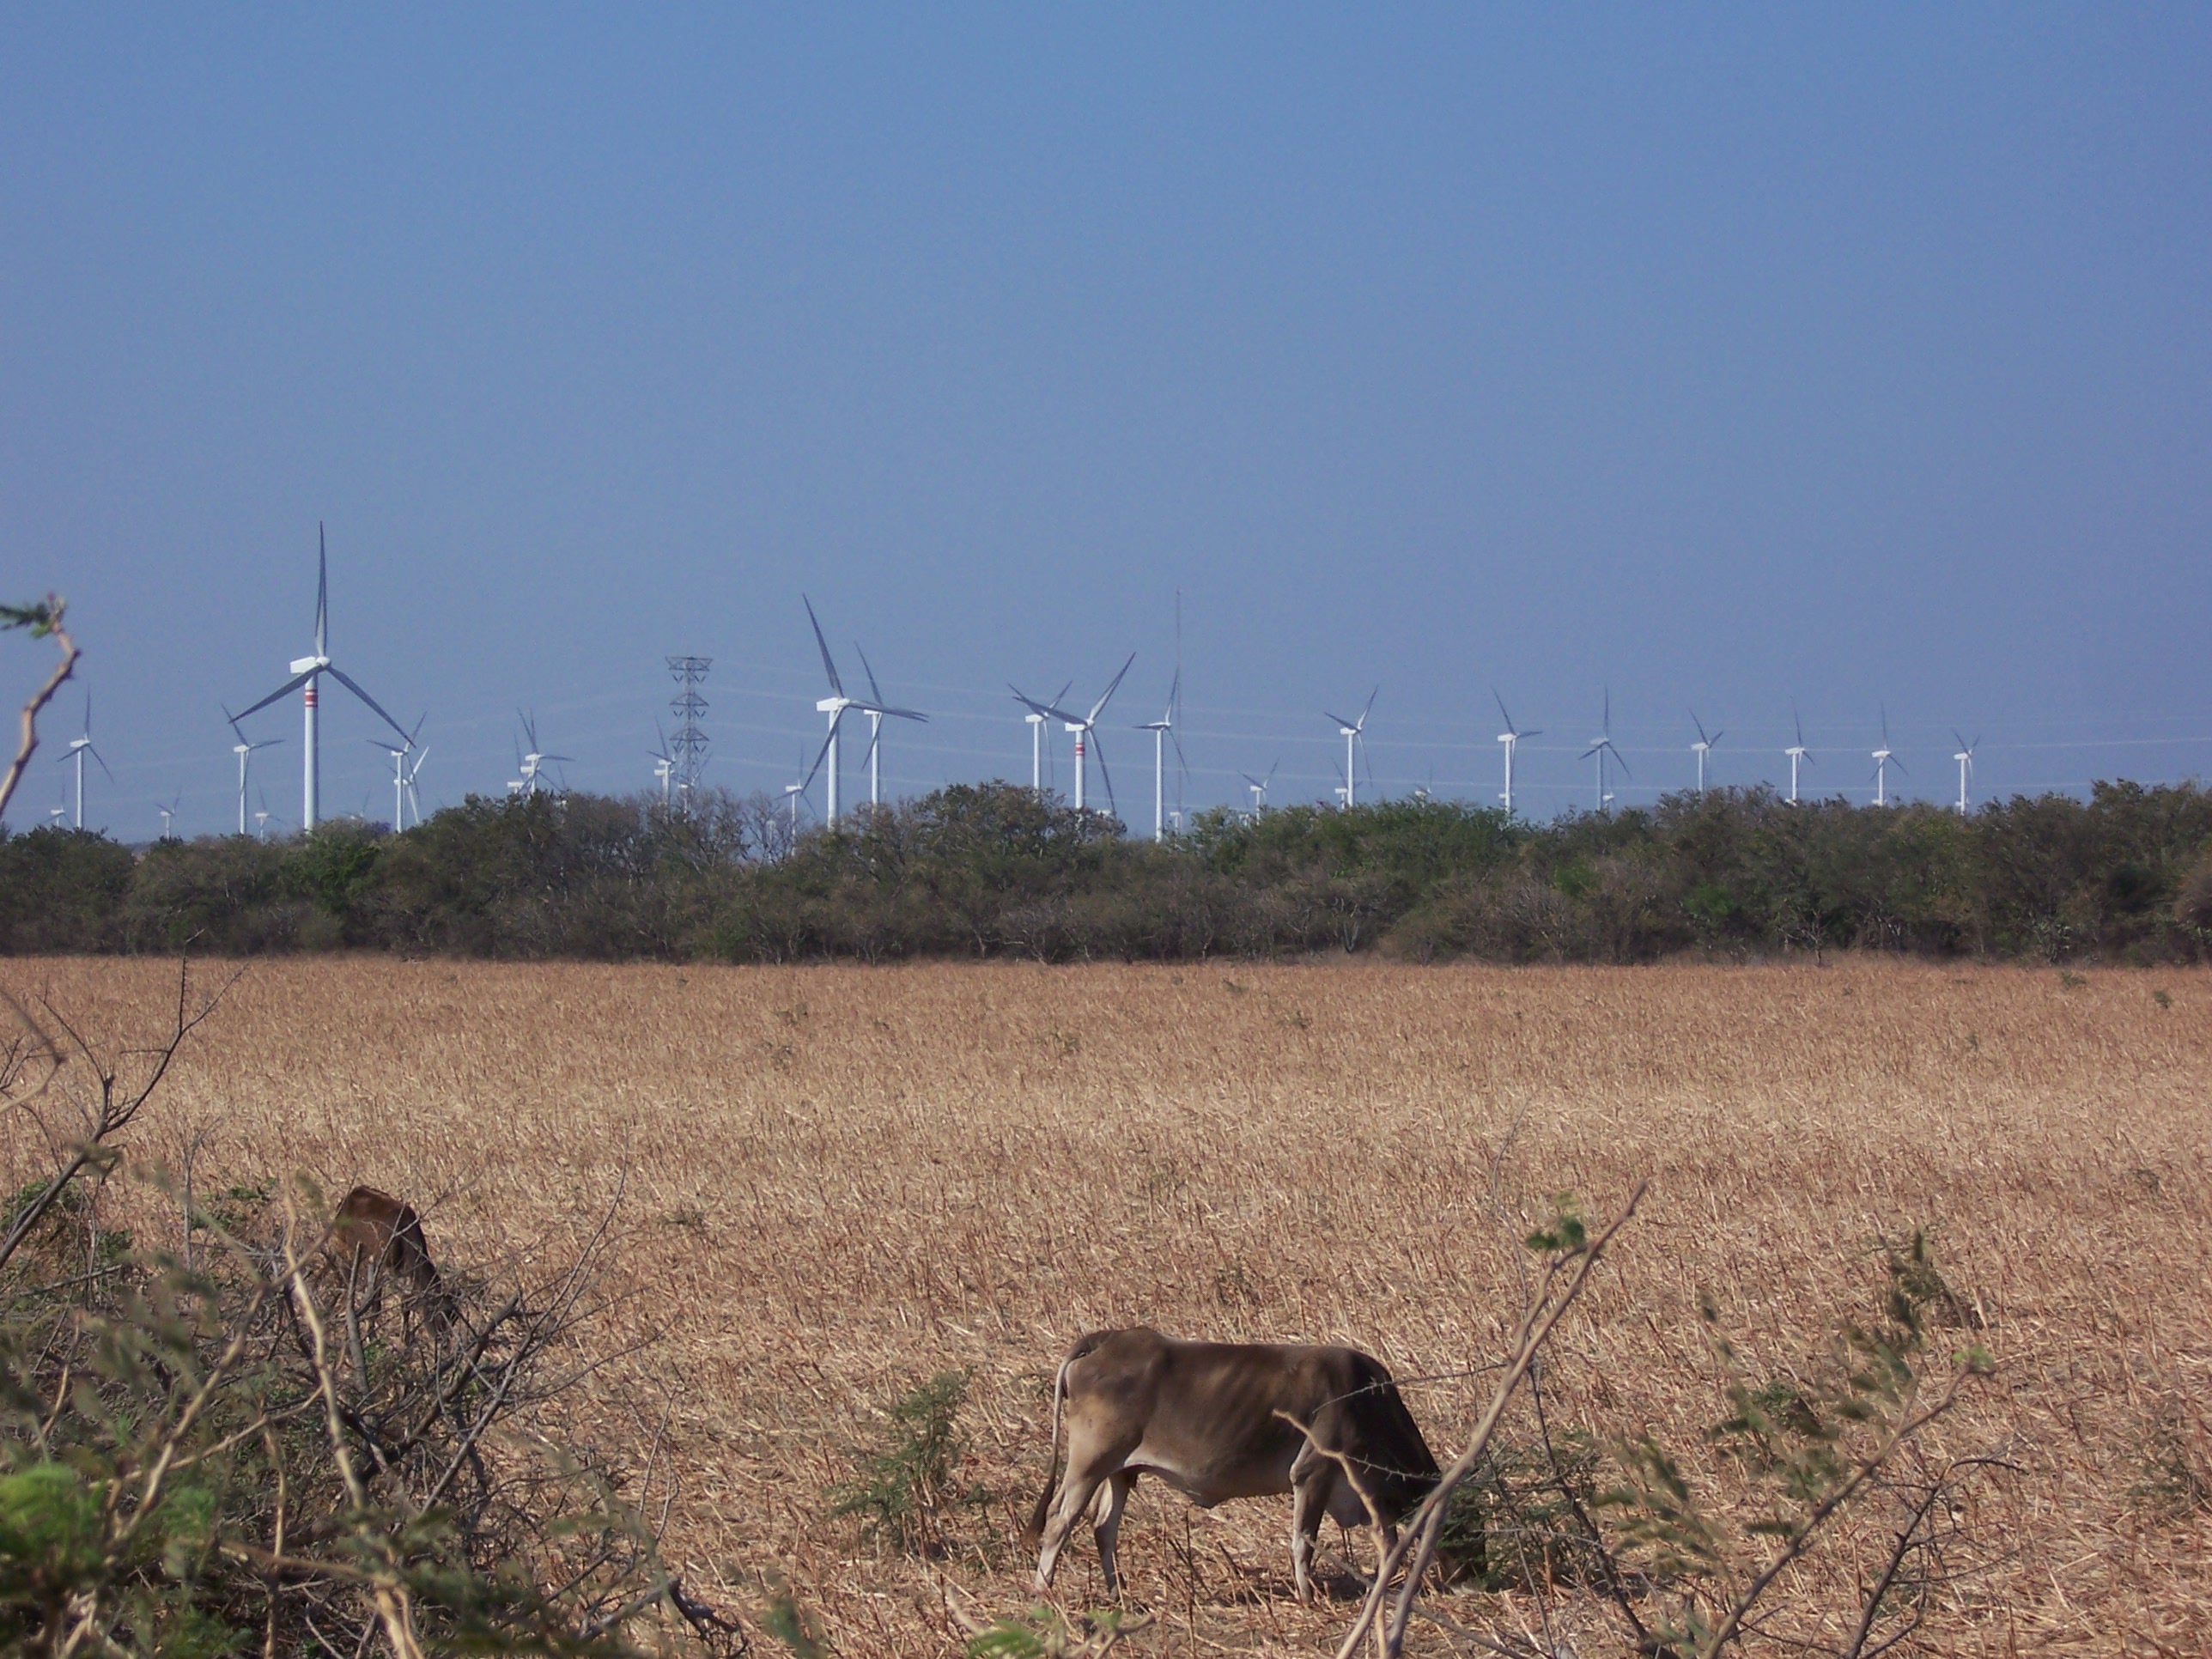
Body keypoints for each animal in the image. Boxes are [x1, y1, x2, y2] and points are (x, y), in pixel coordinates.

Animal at [1017, 1335, 1433, 1601]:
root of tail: (1106, 1339)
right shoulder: (1312, 1473)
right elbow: (1304, 1541)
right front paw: (1308, 1596)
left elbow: (1385, 1536)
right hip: (1089, 1463)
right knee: (1059, 1519)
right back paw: (1042, 1591)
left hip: (1119, 1471)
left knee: (1104, 1527)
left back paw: (1117, 1594)